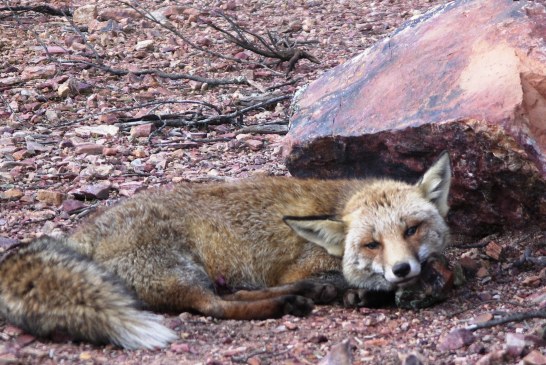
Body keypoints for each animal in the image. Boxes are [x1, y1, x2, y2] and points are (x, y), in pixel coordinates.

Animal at [0, 152, 450, 348]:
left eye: (412, 229)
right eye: (372, 244)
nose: (402, 270)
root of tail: (78, 235)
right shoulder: (305, 264)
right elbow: (346, 280)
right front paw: (360, 291)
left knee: (232, 294)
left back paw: (299, 296)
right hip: (180, 270)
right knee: (215, 306)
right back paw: (288, 302)